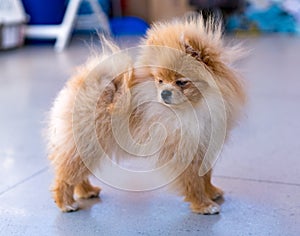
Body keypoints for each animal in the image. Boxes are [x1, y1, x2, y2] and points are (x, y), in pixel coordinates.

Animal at [46, 14, 244, 214]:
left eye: (181, 82)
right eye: (160, 81)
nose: (165, 93)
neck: (195, 108)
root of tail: (84, 83)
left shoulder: (204, 145)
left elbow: (205, 175)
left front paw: (211, 192)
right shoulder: (184, 152)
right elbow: (193, 182)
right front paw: (203, 205)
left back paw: (87, 191)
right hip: (87, 143)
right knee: (65, 175)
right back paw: (66, 203)